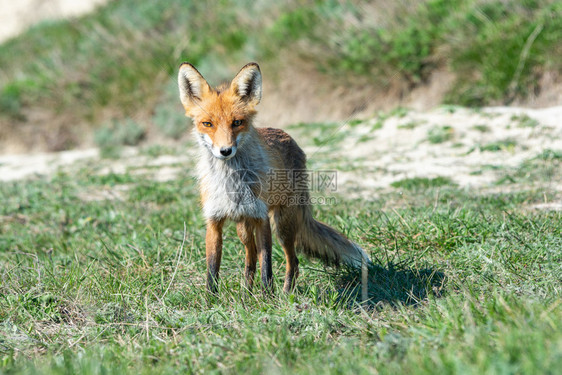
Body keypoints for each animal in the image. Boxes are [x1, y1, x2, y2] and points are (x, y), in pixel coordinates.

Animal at [177, 61, 370, 296]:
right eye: (207, 124)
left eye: (237, 122)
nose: (225, 151)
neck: (232, 182)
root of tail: (289, 138)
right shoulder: (213, 221)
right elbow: (212, 270)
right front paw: (211, 300)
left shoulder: (261, 218)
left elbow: (266, 266)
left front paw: (267, 298)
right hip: (243, 227)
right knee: (250, 258)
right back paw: (246, 293)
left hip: (282, 226)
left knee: (293, 262)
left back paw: (285, 294)